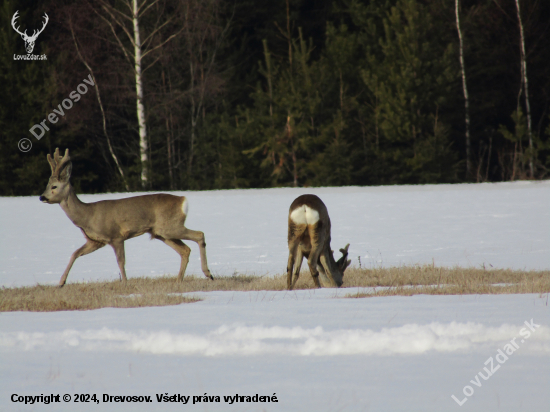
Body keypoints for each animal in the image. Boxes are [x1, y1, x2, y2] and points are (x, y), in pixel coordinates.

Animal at [38, 148, 215, 286]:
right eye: (46, 185)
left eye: (54, 186)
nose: (42, 197)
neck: (87, 216)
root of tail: (183, 200)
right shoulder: (96, 241)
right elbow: (74, 253)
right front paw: (61, 282)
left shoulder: (116, 236)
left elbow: (120, 261)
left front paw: (125, 282)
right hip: (161, 233)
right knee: (185, 250)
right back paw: (179, 280)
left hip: (170, 227)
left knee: (199, 234)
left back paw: (208, 273)